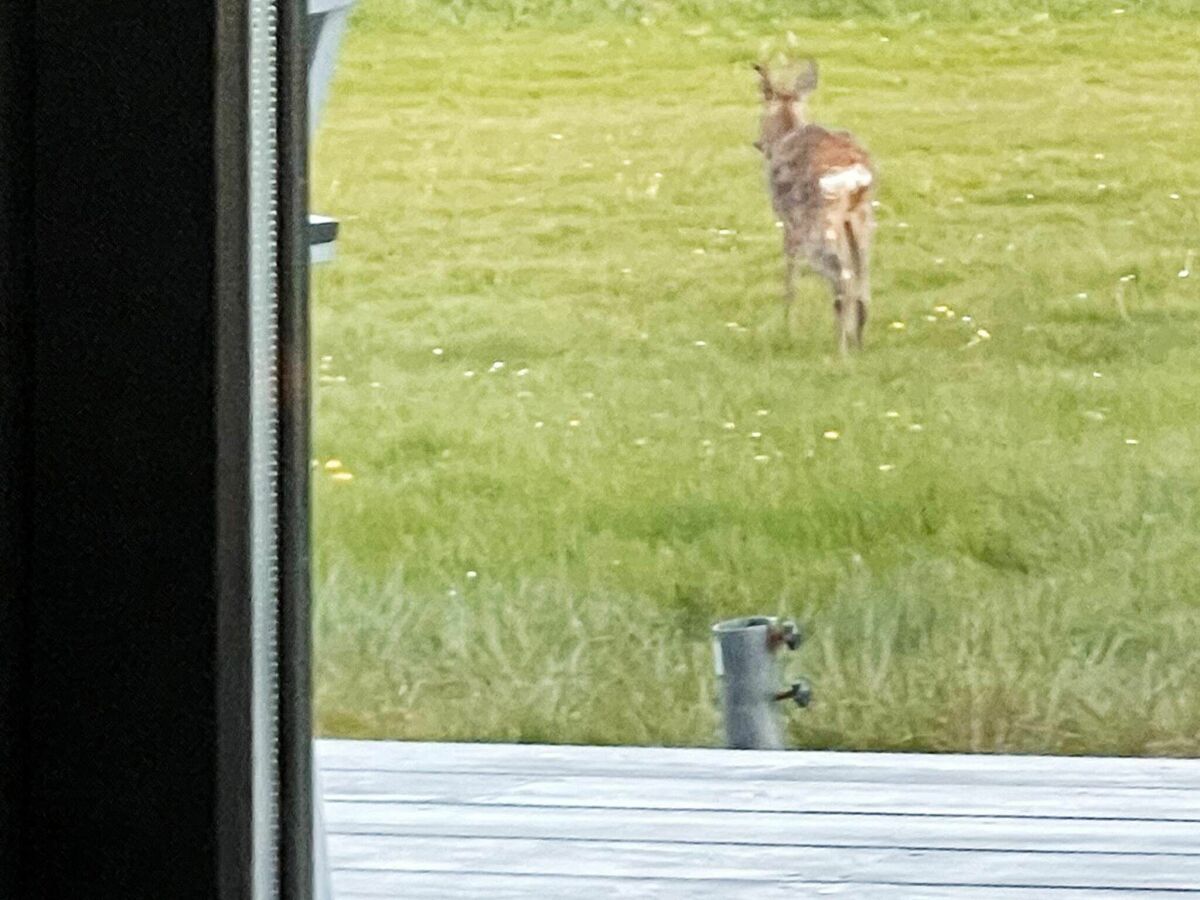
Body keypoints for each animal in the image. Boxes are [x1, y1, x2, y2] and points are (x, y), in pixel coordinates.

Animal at [753, 60, 878, 355]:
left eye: (761, 115)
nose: (758, 143)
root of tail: (853, 174)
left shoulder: (787, 220)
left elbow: (790, 274)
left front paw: (786, 327)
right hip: (861, 217)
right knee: (863, 281)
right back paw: (857, 344)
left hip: (818, 221)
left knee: (842, 276)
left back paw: (840, 351)